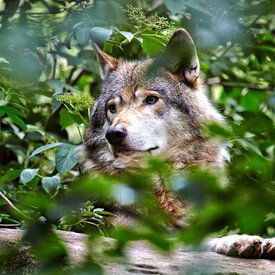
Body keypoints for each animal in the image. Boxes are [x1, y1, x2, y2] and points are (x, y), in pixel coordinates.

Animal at [82, 29, 275, 260]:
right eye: (112, 108)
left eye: (151, 100)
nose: (114, 134)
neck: (163, 191)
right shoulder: (129, 237)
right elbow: (190, 242)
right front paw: (235, 241)